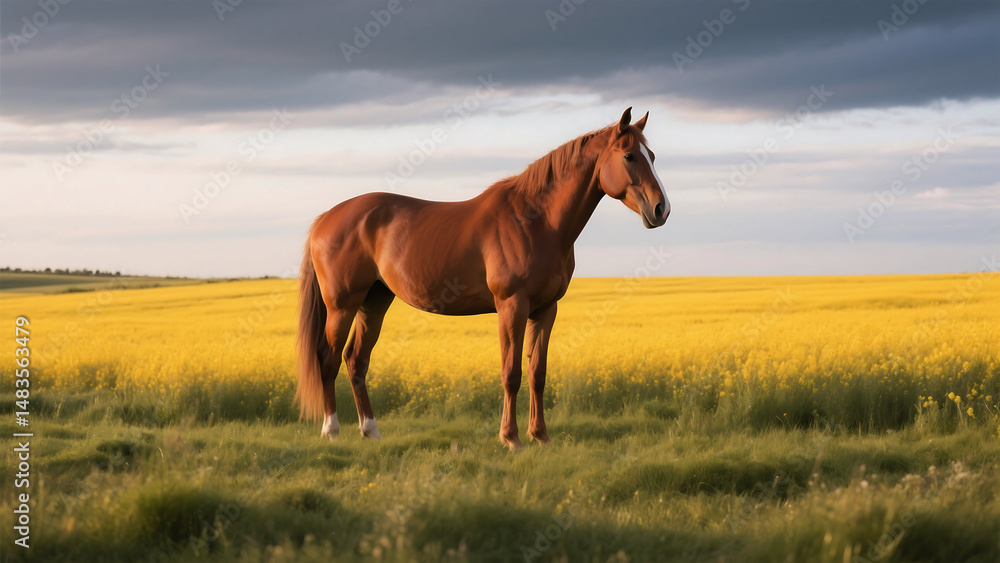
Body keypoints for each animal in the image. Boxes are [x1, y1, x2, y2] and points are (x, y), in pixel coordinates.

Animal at [296, 107, 670, 450]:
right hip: (342, 305)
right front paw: (511, 438)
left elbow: (537, 373)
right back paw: (331, 430)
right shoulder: (512, 306)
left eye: (651, 156)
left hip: (374, 302)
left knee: (356, 360)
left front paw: (540, 436)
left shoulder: (546, 309)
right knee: (328, 359)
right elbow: (511, 373)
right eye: (630, 156)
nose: (661, 210)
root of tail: (326, 218)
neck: (536, 221)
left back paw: (370, 431)